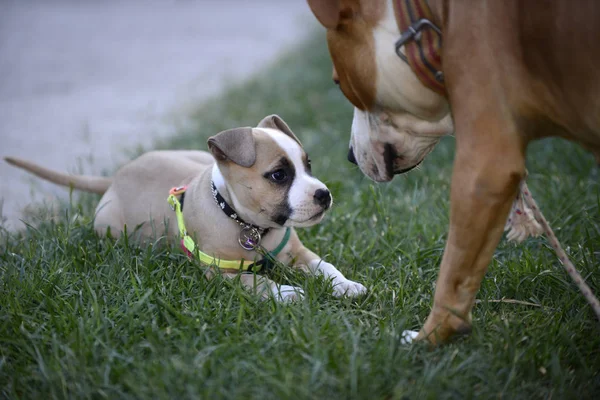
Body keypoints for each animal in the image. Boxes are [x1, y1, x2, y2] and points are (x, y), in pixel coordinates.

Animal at [7, 115, 368, 304]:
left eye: (308, 165)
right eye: (279, 175)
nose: (324, 195)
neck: (247, 224)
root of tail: (116, 176)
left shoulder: (297, 252)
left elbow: (325, 265)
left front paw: (345, 284)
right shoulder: (219, 274)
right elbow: (257, 282)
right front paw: (289, 292)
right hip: (109, 227)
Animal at [310, 0, 600, 344]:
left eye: (339, 82)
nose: (350, 156)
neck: (433, 17)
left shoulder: (484, 168)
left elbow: (453, 271)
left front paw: (427, 339)